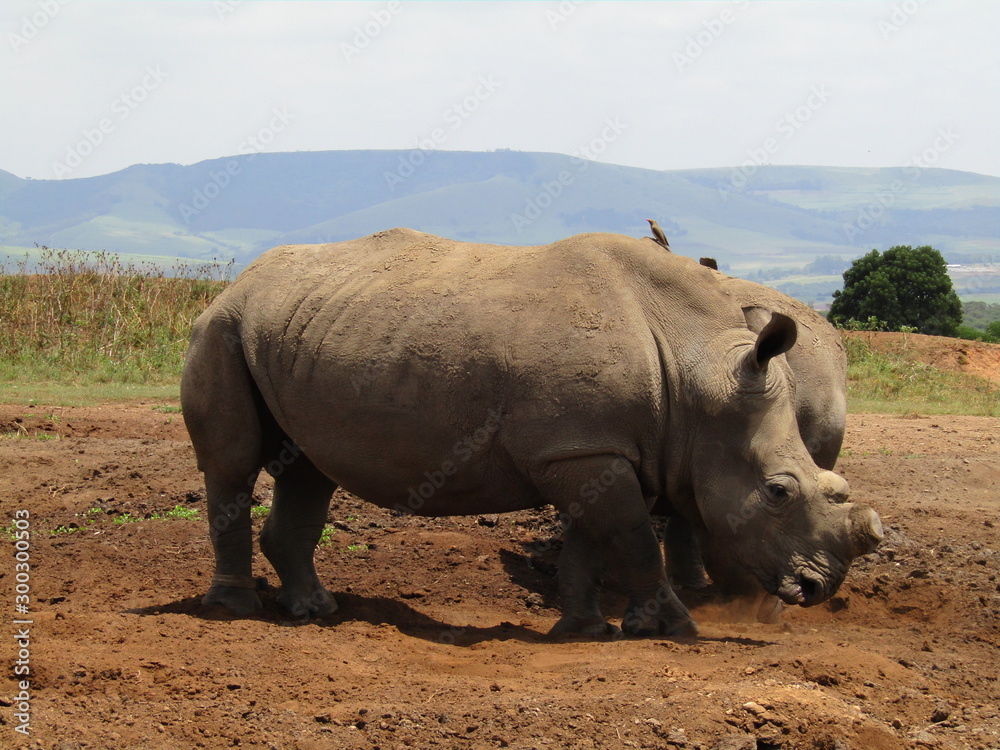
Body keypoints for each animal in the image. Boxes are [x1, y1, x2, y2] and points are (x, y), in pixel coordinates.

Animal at [181, 228, 882, 637]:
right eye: (777, 492)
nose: (818, 588)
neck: (698, 365)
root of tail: (240, 279)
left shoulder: (591, 446)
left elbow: (594, 540)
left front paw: (585, 631)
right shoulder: (583, 447)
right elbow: (632, 537)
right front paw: (674, 630)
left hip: (302, 330)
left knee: (308, 468)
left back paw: (314, 611)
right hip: (223, 327)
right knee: (233, 465)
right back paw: (234, 611)